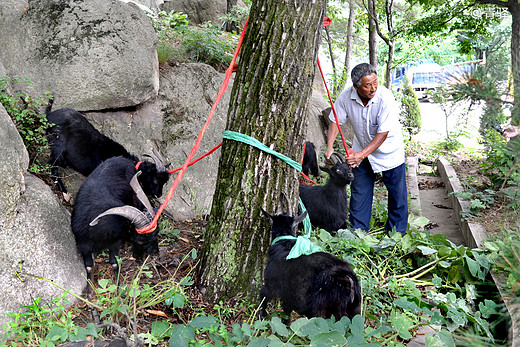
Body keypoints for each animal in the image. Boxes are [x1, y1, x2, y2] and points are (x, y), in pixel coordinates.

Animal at [72, 157, 159, 290]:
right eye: (140, 240)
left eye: (157, 233)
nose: (155, 251)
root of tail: (123, 158)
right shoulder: (83, 243)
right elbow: (88, 265)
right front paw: (89, 289)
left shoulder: (114, 242)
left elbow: (114, 263)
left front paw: (119, 289)